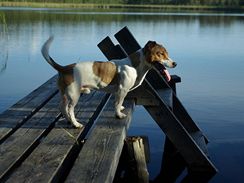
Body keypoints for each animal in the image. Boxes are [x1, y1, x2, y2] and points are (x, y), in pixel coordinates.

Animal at [41, 35, 176, 127]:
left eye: (167, 53)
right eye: (160, 54)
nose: (175, 63)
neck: (135, 65)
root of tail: (64, 68)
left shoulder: (119, 92)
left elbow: (118, 103)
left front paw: (120, 109)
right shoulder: (122, 90)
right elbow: (117, 103)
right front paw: (119, 115)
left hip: (65, 93)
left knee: (62, 107)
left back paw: (69, 120)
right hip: (74, 95)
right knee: (70, 109)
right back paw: (75, 124)